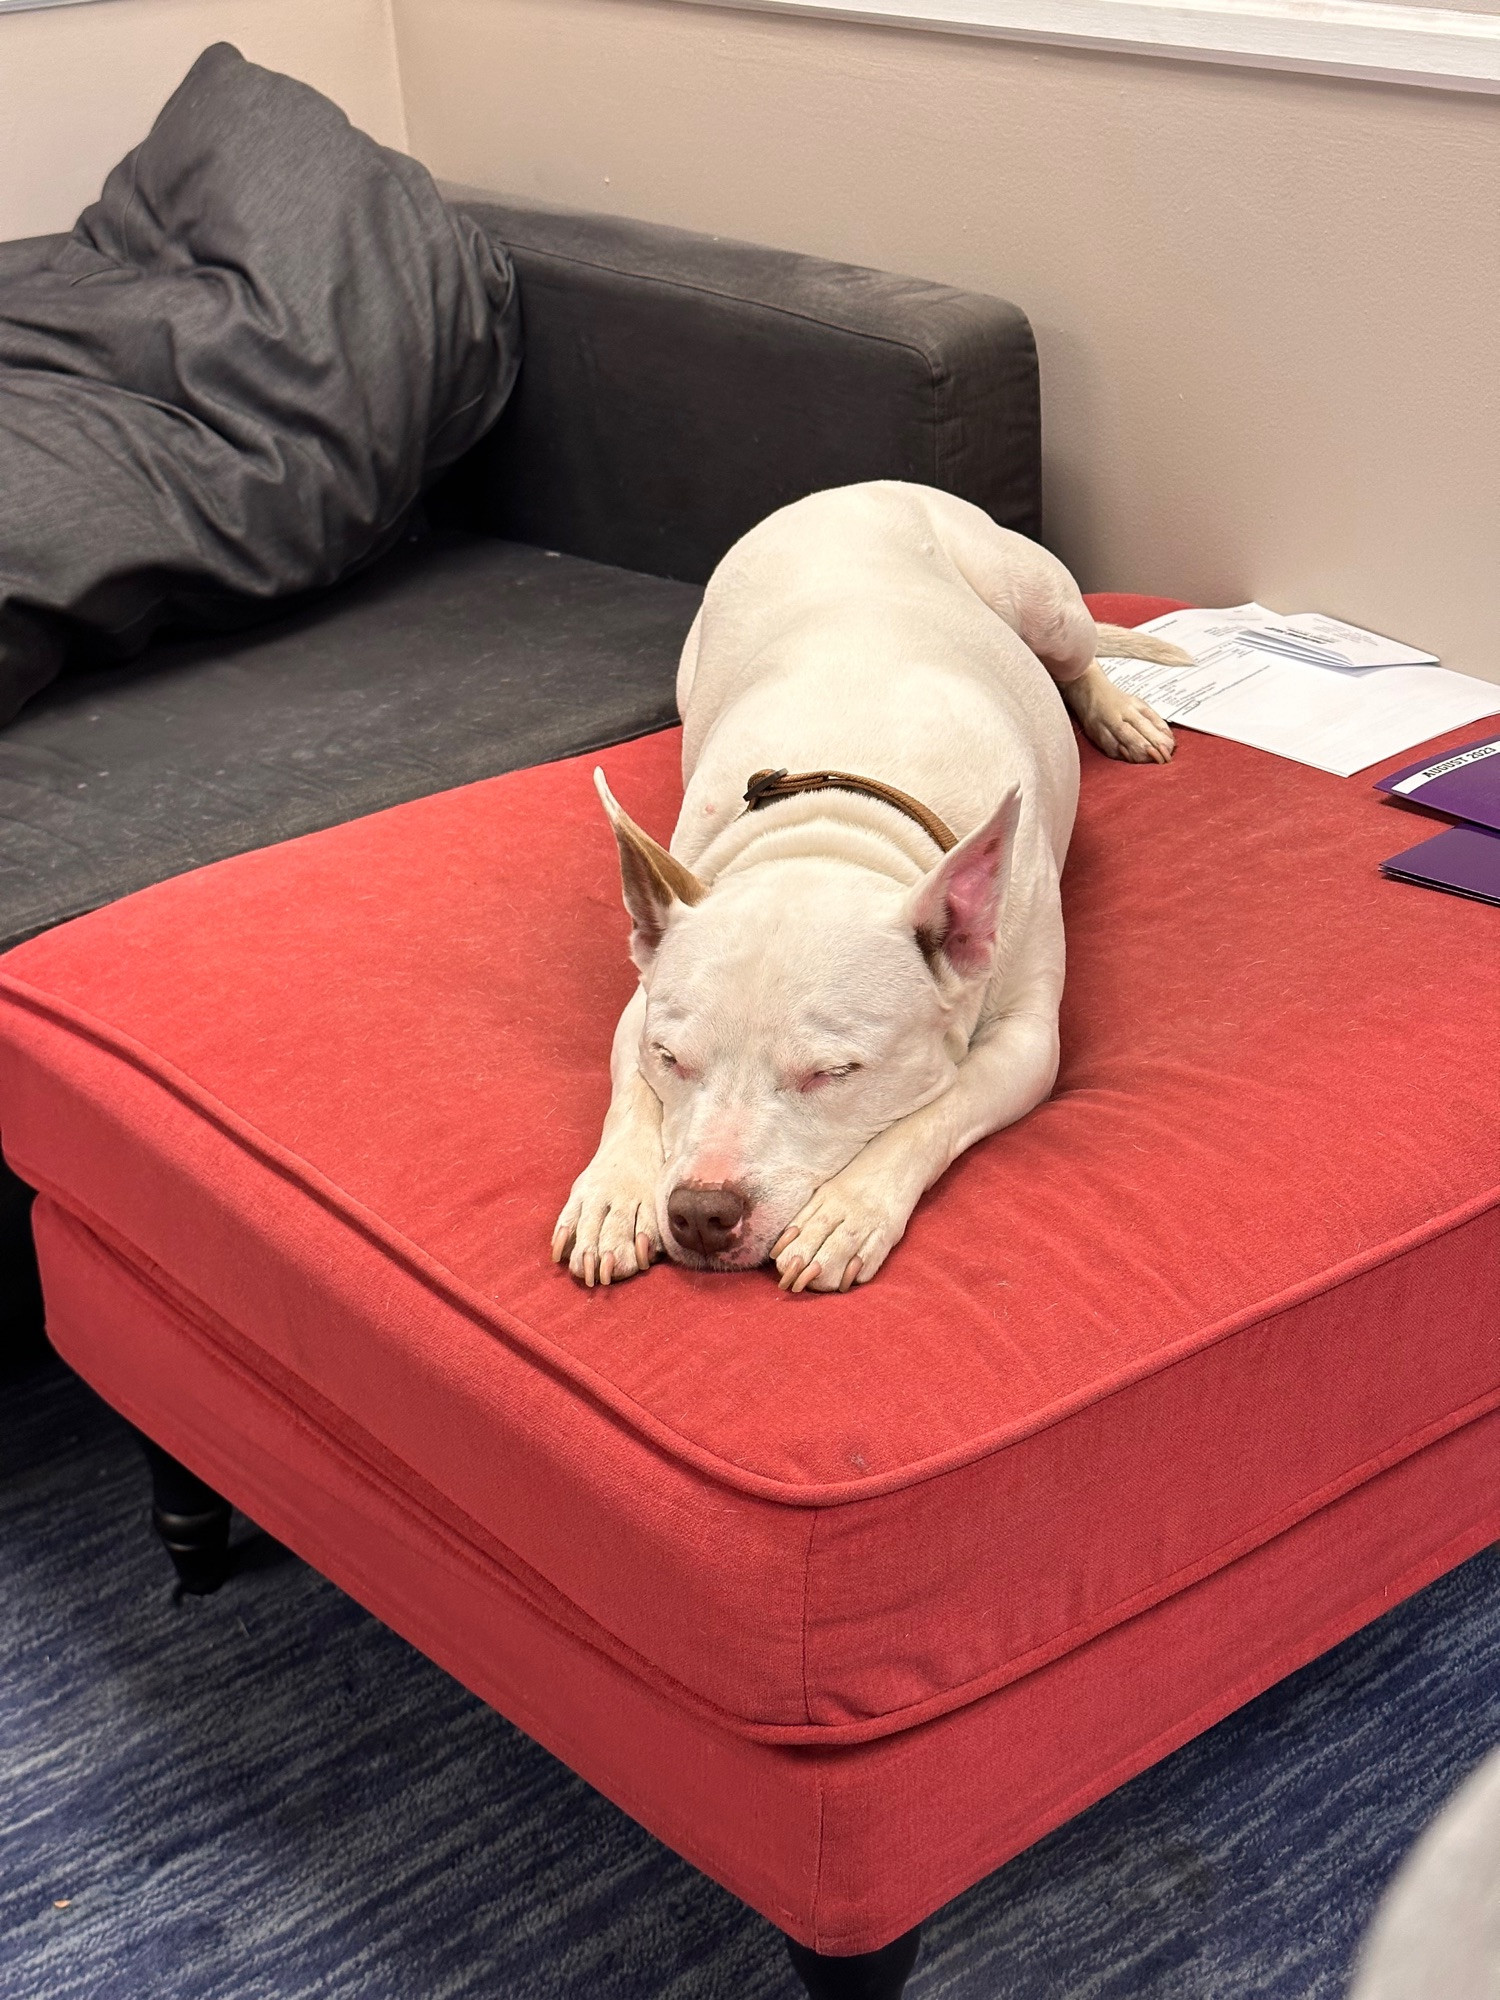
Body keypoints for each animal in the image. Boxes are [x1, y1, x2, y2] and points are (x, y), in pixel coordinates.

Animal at [552, 484, 1184, 1296]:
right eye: (673, 1059)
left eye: (834, 1074)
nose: (699, 1212)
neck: (843, 826)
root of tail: (850, 487)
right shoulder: (643, 1000)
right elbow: (630, 1092)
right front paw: (613, 1190)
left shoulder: (1028, 1040)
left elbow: (937, 1110)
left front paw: (849, 1209)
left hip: (1046, 606)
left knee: (1077, 660)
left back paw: (1119, 710)